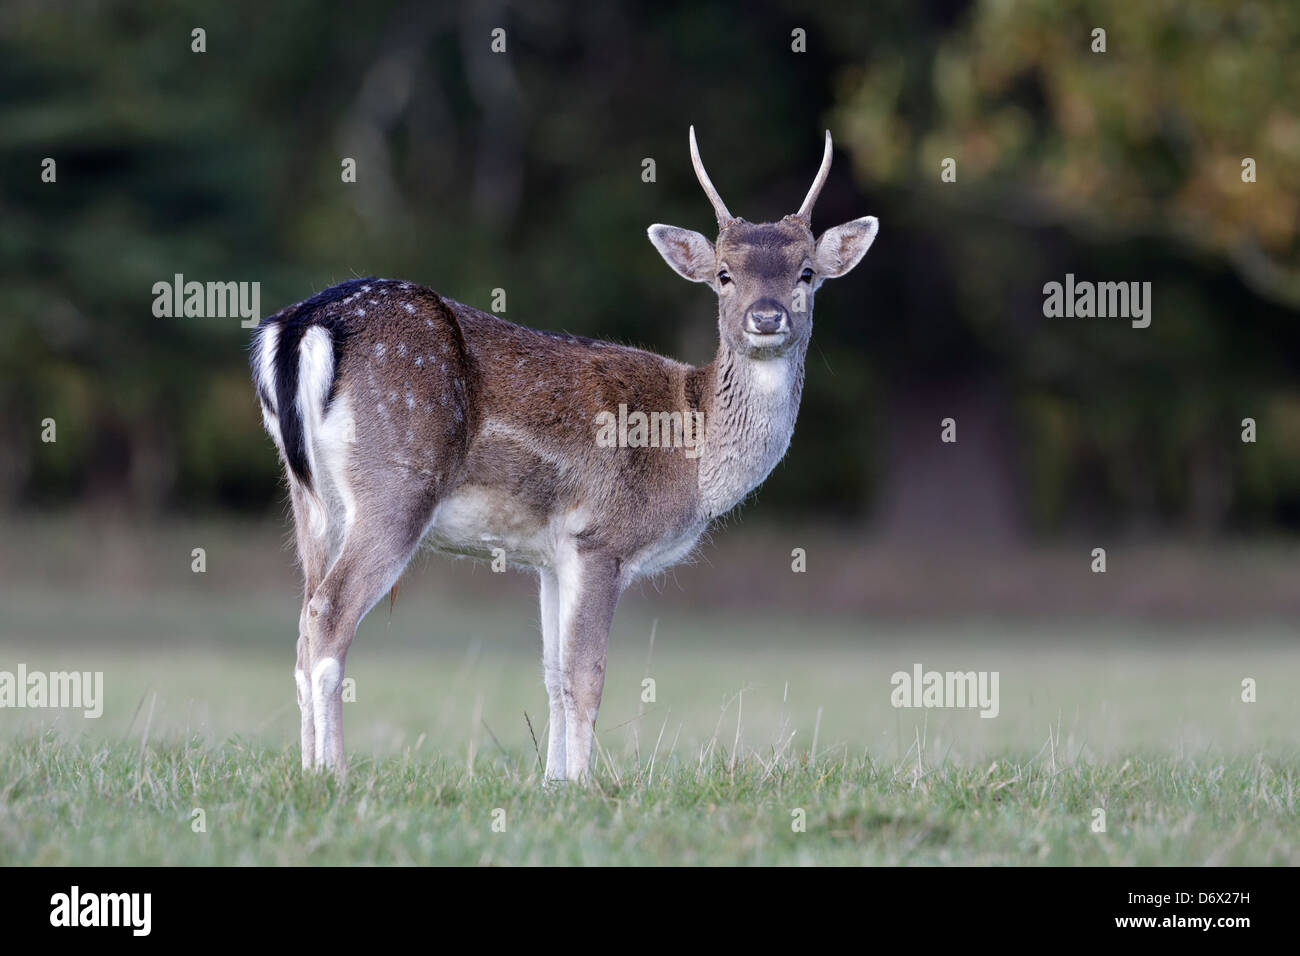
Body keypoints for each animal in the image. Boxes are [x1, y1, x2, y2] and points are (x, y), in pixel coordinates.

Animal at [248, 127, 878, 785]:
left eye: (807, 273)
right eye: (724, 275)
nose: (767, 316)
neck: (691, 454)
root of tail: (298, 328)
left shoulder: (551, 556)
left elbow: (552, 677)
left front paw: (551, 783)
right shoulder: (600, 538)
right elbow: (587, 677)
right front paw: (583, 783)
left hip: (308, 499)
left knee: (302, 624)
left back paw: (305, 769)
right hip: (395, 485)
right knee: (328, 616)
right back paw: (336, 773)